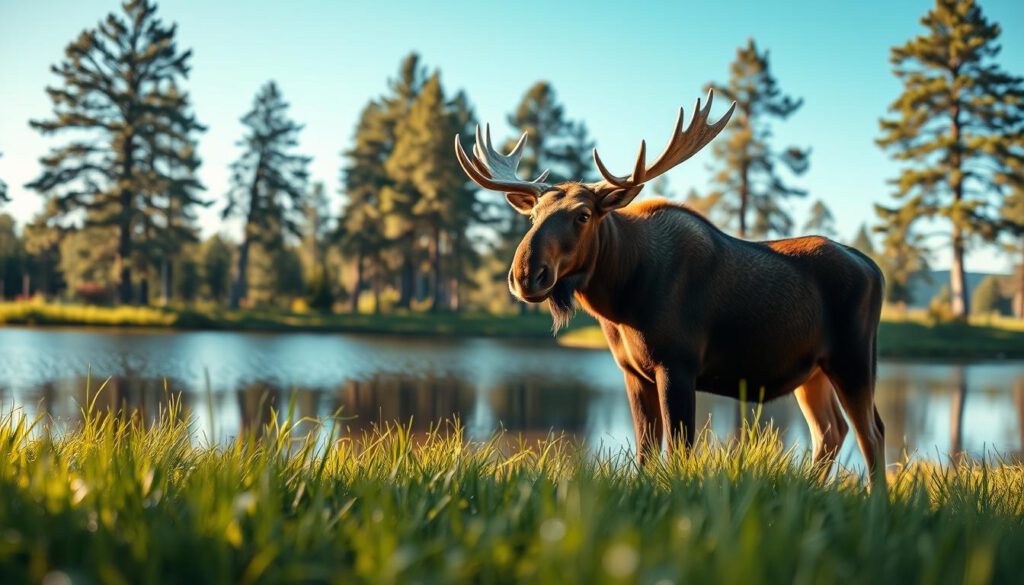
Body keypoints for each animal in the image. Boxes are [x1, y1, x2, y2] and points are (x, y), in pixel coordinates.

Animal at [454, 90, 886, 485]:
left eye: (583, 215)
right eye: (533, 215)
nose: (527, 274)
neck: (621, 299)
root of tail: (874, 270)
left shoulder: (677, 363)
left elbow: (680, 449)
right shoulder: (632, 371)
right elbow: (646, 450)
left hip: (853, 359)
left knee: (872, 432)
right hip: (812, 371)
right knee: (831, 430)